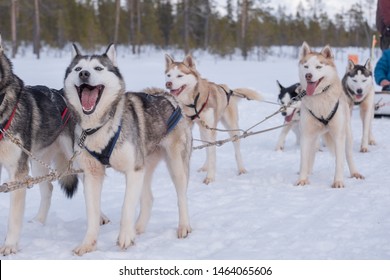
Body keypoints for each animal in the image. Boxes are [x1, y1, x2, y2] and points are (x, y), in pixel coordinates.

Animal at [0, 35, 78, 256]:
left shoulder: (17, 174)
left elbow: (13, 218)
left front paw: (10, 245)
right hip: (36, 163)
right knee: (48, 187)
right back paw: (38, 222)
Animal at [64, 44, 192, 256]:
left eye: (98, 68)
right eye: (78, 68)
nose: (84, 74)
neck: (100, 126)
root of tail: (167, 96)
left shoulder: (133, 171)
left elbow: (126, 208)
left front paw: (125, 237)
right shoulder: (92, 175)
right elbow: (92, 213)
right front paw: (88, 244)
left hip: (175, 166)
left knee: (182, 196)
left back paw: (183, 227)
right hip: (145, 167)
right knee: (148, 198)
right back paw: (138, 228)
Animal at [165, 53, 262, 185]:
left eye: (179, 75)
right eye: (168, 75)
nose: (168, 84)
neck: (192, 103)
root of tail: (229, 90)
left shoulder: (211, 130)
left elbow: (212, 156)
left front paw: (210, 178)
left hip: (231, 129)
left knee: (235, 149)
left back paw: (241, 169)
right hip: (203, 131)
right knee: (207, 148)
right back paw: (204, 167)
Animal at [298, 41, 364, 188]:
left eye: (318, 67)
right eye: (306, 66)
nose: (308, 75)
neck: (320, 98)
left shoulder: (339, 135)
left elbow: (339, 162)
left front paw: (338, 181)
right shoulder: (306, 134)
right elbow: (304, 159)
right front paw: (302, 179)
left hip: (347, 134)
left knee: (348, 155)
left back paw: (355, 172)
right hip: (314, 138)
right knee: (310, 155)